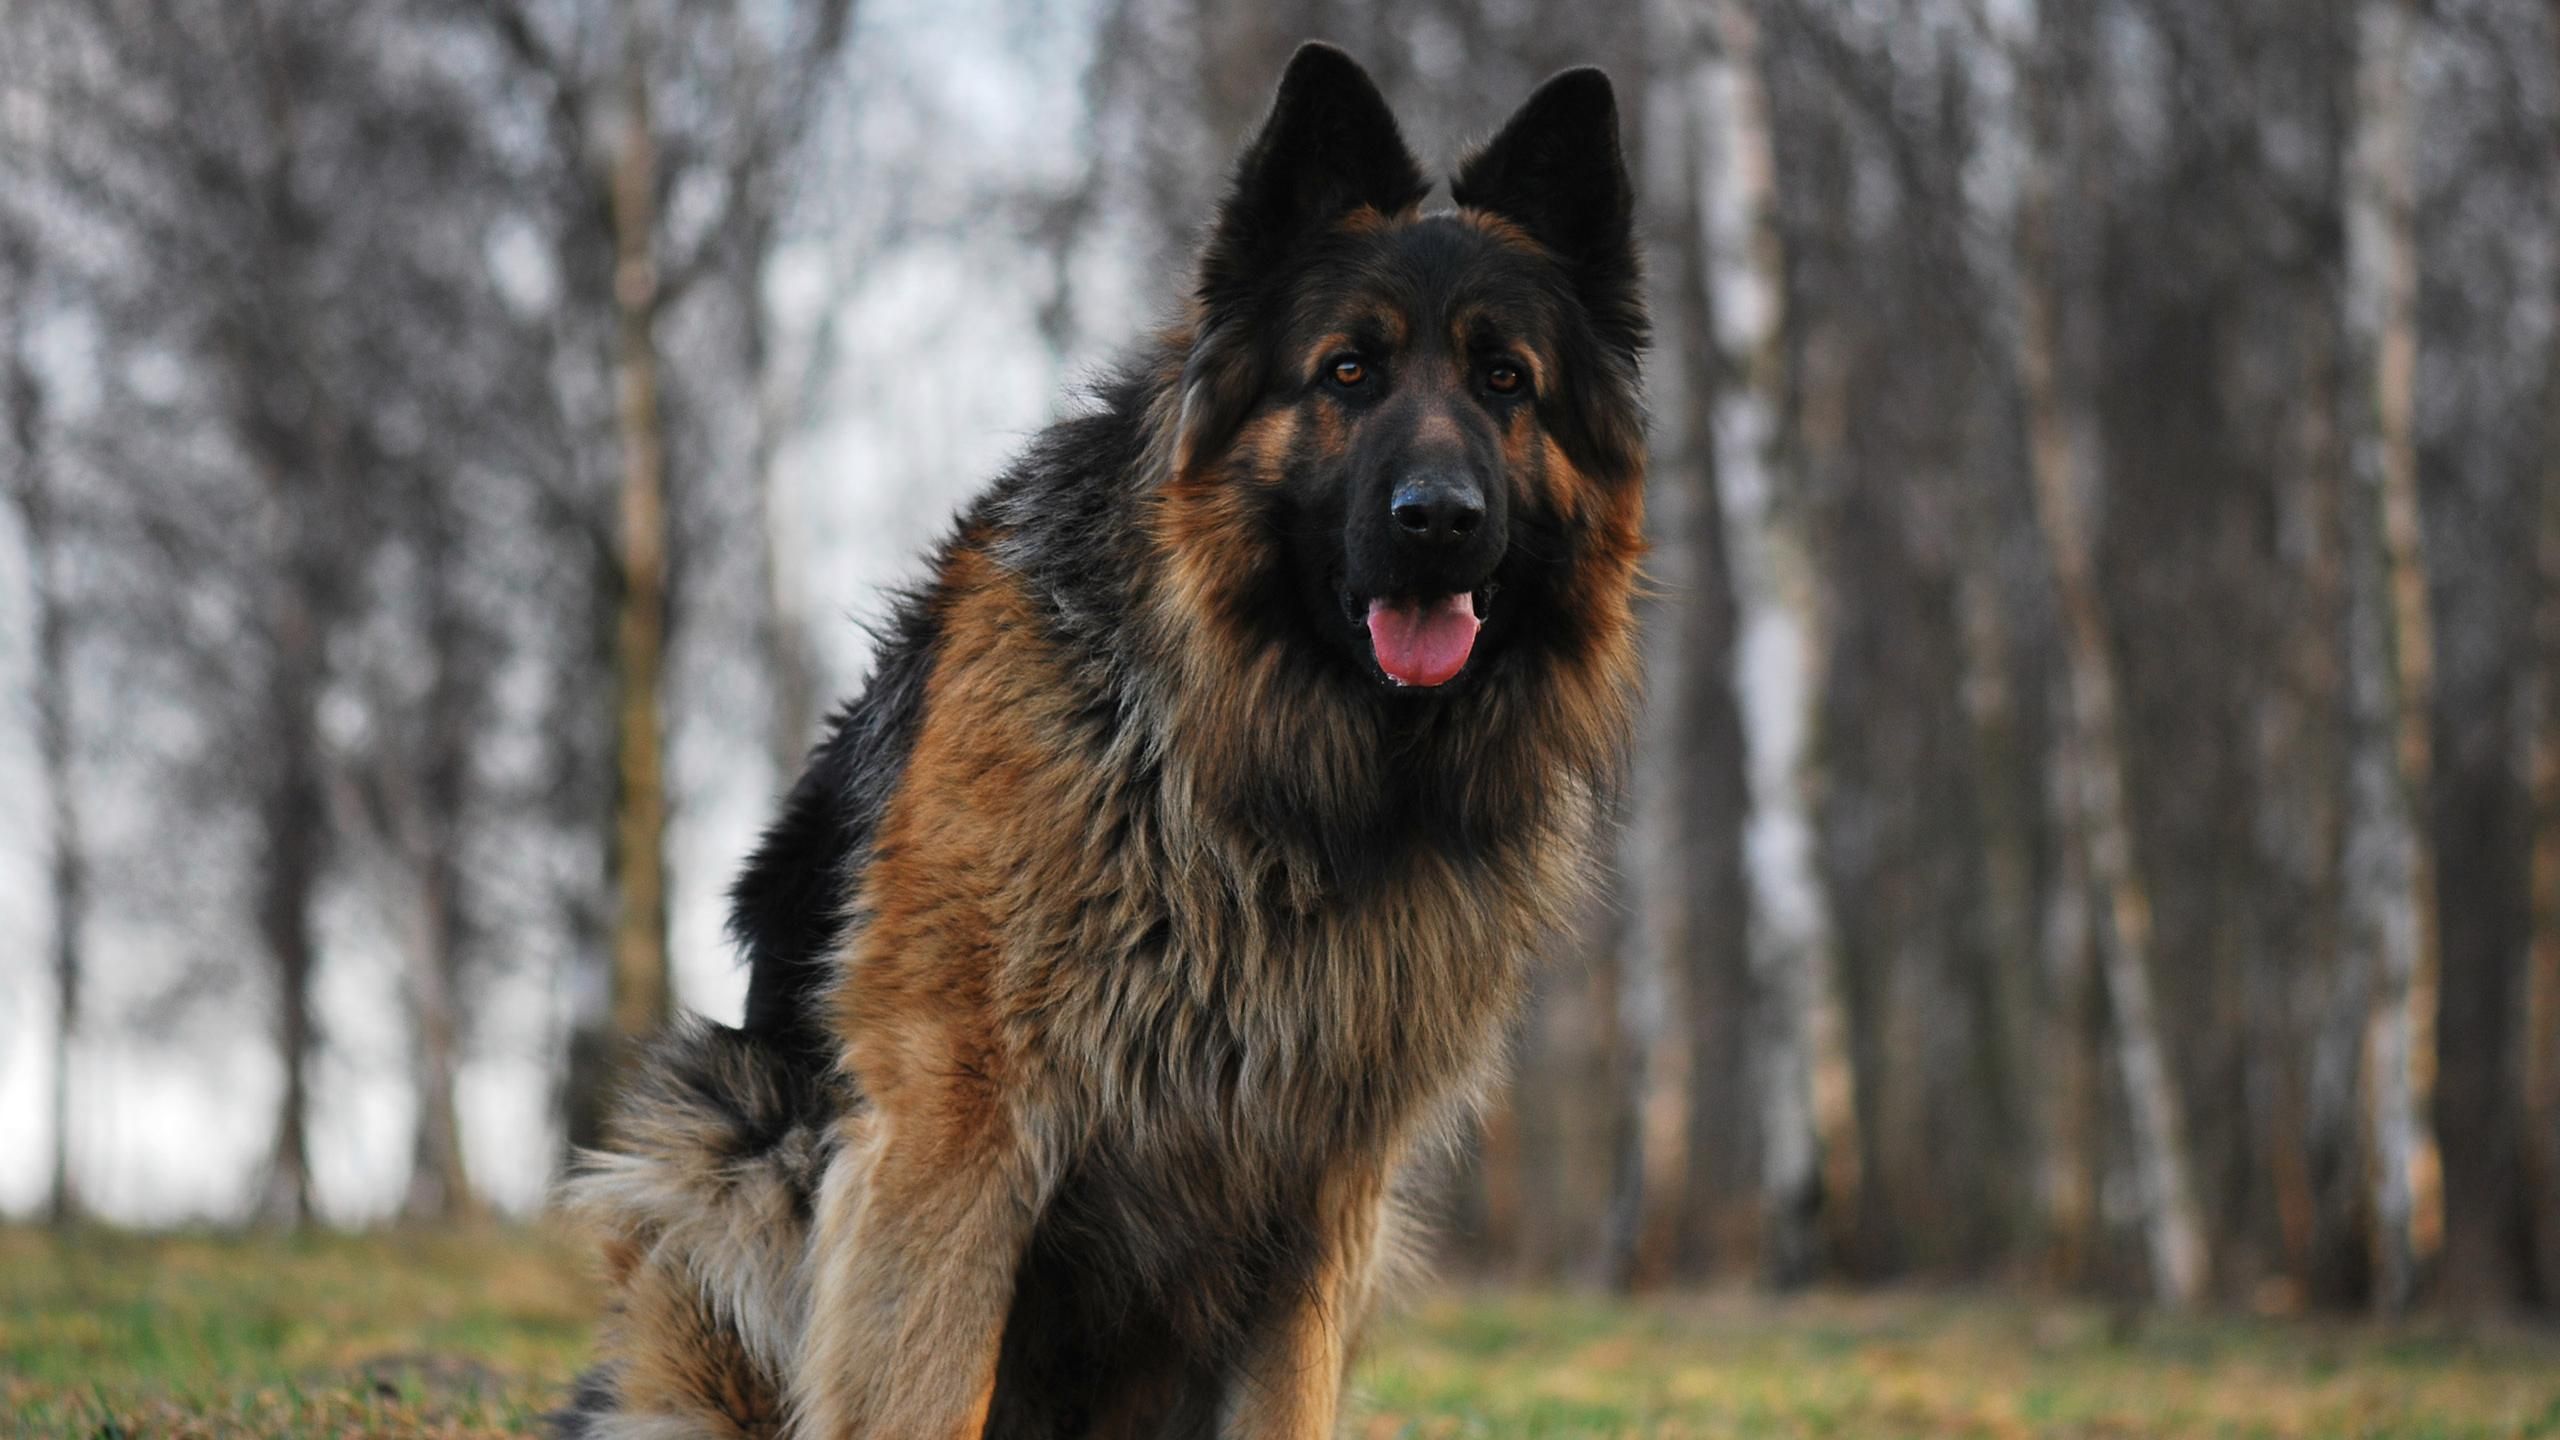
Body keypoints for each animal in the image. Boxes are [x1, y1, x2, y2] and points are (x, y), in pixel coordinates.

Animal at [555, 39, 1638, 1424]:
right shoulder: (951, 1136)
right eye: (1348, 371)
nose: (1438, 520)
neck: (1276, 777)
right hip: (724, 1134)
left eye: (1507, 381)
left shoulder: (1321, 1195)